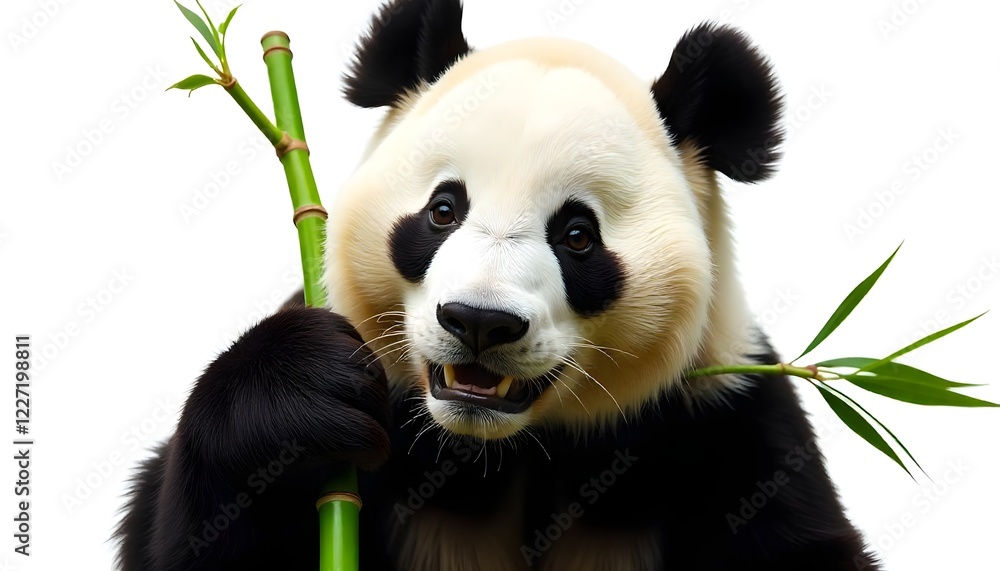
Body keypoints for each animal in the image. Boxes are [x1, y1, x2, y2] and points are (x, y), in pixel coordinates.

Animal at [115, 0, 881, 569]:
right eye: (443, 210)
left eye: (577, 234)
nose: (479, 322)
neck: (503, 451)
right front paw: (300, 389)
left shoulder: (726, 419)